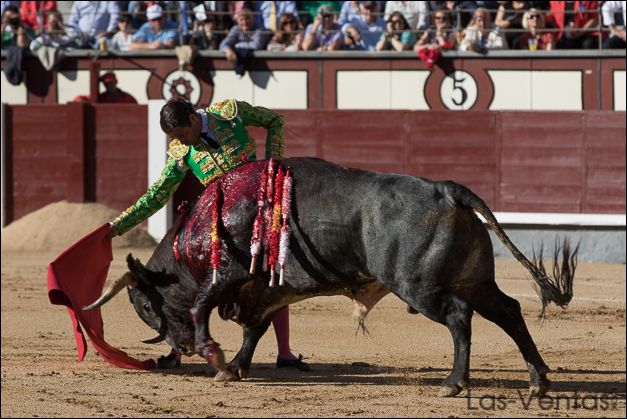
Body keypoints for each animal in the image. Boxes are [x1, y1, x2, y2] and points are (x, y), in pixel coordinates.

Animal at [84, 158, 580, 398]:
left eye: (142, 304)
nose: (180, 349)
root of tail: (447, 189)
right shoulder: (265, 291)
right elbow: (254, 329)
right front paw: (236, 368)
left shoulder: (230, 275)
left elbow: (203, 305)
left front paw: (216, 357)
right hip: (474, 280)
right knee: (508, 311)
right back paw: (538, 378)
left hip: (421, 288)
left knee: (460, 318)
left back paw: (454, 383)